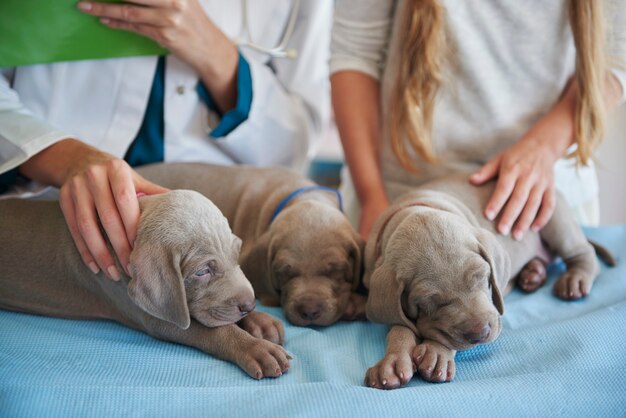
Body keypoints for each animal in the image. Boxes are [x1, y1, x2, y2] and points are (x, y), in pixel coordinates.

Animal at [0, 191, 288, 380]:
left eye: (236, 253)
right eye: (203, 271)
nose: (249, 304)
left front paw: (261, 322)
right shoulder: (154, 316)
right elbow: (214, 331)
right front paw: (255, 348)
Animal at [360, 172, 608, 386]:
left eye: (483, 277)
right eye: (429, 302)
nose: (481, 333)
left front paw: (436, 352)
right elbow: (400, 326)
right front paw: (393, 362)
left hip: (552, 219)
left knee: (583, 253)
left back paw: (574, 278)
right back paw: (533, 273)